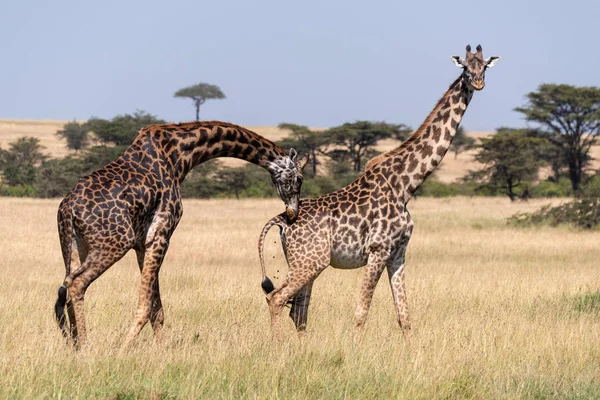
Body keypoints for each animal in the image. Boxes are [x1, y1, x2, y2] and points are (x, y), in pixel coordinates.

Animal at [52, 120, 308, 348]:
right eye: (299, 178)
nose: (292, 212)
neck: (180, 155)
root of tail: (68, 209)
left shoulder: (142, 244)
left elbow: (157, 308)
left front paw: (160, 351)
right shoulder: (161, 234)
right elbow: (147, 305)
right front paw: (124, 348)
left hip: (74, 245)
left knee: (66, 287)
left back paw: (75, 347)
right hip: (114, 243)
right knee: (76, 283)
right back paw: (86, 348)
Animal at [256, 44, 496, 344]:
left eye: (484, 66)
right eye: (464, 66)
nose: (478, 82)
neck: (405, 185)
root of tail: (281, 219)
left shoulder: (398, 252)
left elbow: (404, 315)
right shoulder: (378, 250)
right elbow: (361, 312)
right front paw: (354, 350)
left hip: (304, 262)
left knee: (298, 310)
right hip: (310, 262)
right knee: (276, 299)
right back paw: (278, 347)